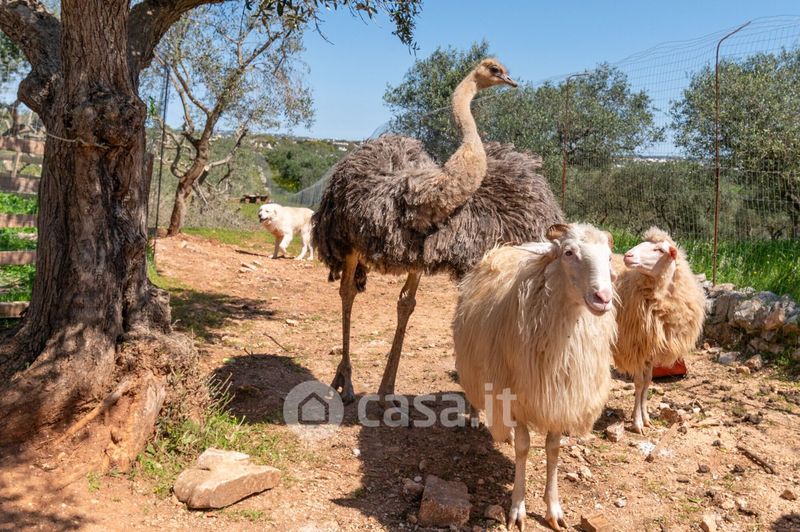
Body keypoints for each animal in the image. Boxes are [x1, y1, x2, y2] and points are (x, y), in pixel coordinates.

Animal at [453, 223, 617, 531]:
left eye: (610, 257)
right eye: (568, 252)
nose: (603, 298)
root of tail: (503, 247)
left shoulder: (559, 397)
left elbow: (553, 449)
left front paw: (553, 508)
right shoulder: (518, 399)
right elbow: (523, 448)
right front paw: (518, 507)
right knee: (473, 391)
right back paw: (474, 417)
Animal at [612, 227, 705, 433]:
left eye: (659, 250)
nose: (627, 255)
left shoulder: (651, 349)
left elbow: (647, 382)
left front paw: (646, 417)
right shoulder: (636, 346)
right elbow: (639, 383)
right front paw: (637, 423)